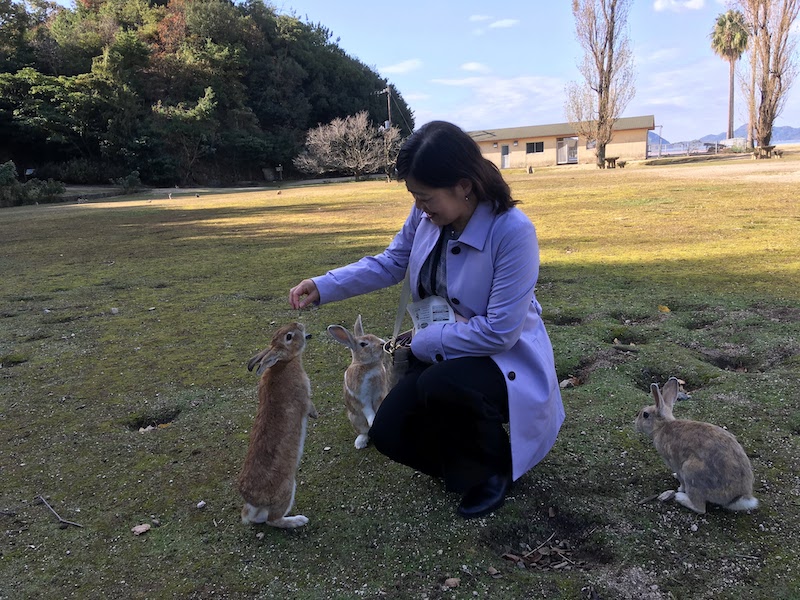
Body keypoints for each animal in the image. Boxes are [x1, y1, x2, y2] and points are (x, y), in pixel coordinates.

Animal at [236, 324, 318, 528]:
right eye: (289, 336)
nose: (300, 325)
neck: (284, 362)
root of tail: (252, 499)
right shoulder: (304, 396)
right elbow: (308, 405)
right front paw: (315, 414)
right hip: (287, 489)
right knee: (273, 520)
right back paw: (298, 521)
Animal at [324, 316, 388, 448]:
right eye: (363, 344)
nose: (382, 343)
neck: (368, 365)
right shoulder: (362, 396)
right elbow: (367, 409)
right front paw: (373, 421)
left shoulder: (380, 393)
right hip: (355, 419)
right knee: (364, 432)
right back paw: (360, 443)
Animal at [636, 378, 756, 512]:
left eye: (645, 414)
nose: (636, 424)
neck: (662, 426)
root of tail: (737, 497)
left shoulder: (674, 463)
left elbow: (681, 479)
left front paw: (680, 488)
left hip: (691, 471)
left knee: (700, 507)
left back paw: (680, 497)